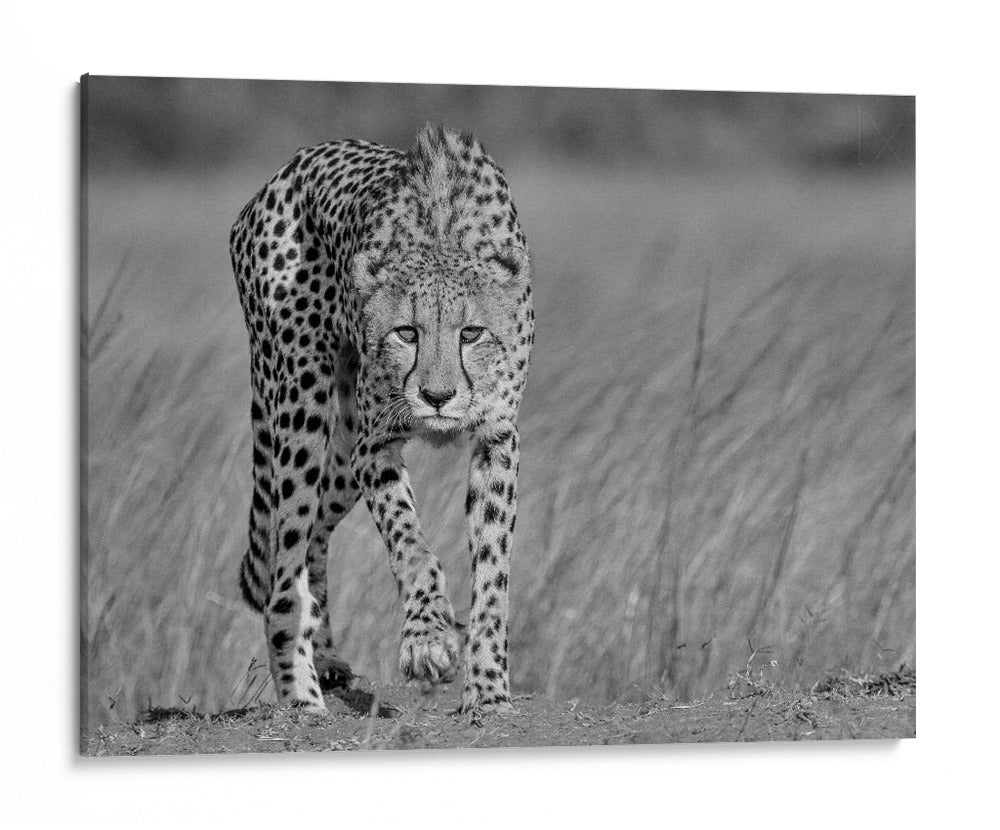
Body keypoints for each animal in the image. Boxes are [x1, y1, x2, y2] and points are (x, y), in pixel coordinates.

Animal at [229, 124, 534, 716]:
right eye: (406, 333)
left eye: (471, 333)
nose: (437, 397)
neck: (443, 233)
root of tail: (285, 170)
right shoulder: (377, 445)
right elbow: (412, 546)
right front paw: (428, 640)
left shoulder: (497, 439)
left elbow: (493, 572)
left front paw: (487, 689)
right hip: (300, 400)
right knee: (284, 566)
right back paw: (302, 698)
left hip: (342, 452)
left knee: (313, 536)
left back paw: (327, 658)